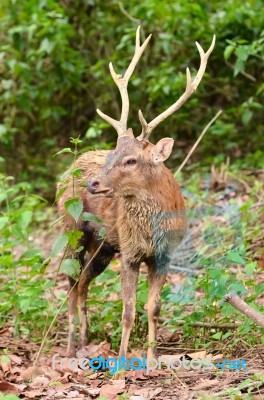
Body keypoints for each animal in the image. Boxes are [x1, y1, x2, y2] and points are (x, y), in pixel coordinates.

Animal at [57, 25, 214, 362]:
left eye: (131, 160)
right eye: (112, 153)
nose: (93, 184)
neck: (151, 232)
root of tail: (68, 169)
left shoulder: (164, 255)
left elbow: (153, 308)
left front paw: (153, 360)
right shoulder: (129, 253)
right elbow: (128, 311)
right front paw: (121, 360)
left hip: (103, 246)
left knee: (84, 282)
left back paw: (87, 338)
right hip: (71, 229)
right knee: (71, 284)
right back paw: (71, 345)